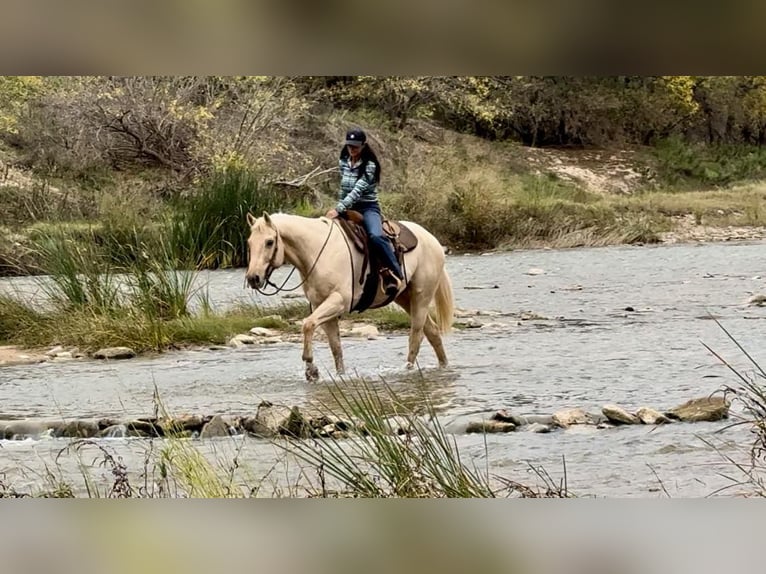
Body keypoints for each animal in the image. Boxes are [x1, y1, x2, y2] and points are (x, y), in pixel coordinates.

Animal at [244, 212, 456, 382]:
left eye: (269, 242)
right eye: (249, 243)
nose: (253, 278)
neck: (317, 252)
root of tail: (432, 239)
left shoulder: (339, 301)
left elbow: (307, 324)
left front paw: (310, 367)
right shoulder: (321, 306)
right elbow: (335, 347)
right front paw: (329, 374)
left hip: (422, 296)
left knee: (416, 336)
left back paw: (408, 370)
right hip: (404, 297)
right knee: (432, 332)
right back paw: (444, 366)